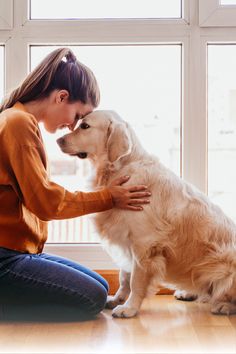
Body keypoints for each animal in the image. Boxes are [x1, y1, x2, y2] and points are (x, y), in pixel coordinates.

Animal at [57, 110, 236, 318]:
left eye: (85, 126)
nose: (58, 140)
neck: (120, 168)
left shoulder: (144, 243)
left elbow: (135, 280)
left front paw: (129, 308)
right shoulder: (127, 241)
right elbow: (124, 277)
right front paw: (117, 299)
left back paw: (223, 306)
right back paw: (188, 292)